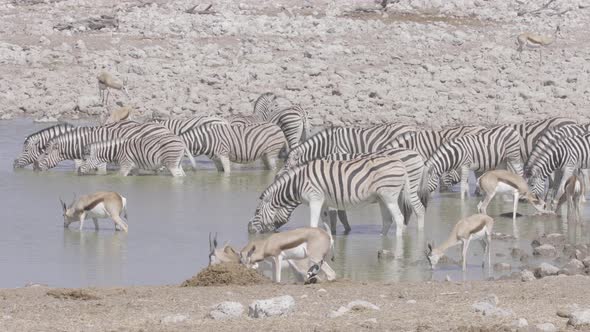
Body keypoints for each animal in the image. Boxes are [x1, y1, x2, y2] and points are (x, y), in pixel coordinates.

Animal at [250, 156, 416, 239]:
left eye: (257, 211)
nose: (249, 230)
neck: (298, 183)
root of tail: (400, 163)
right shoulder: (324, 202)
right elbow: (326, 225)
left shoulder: (315, 198)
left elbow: (313, 225)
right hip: (381, 198)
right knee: (388, 220)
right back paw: (382, 238)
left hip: (390, 196)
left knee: (399, 219)